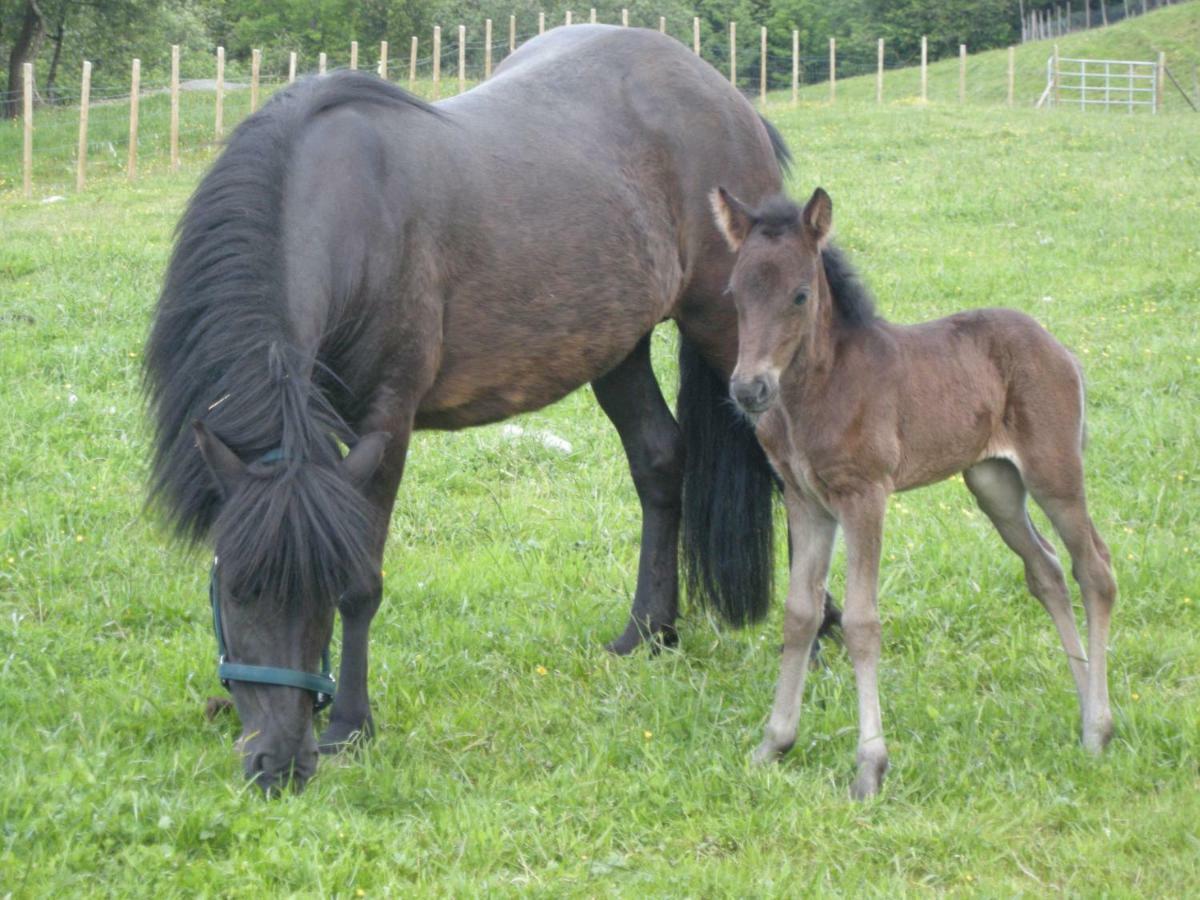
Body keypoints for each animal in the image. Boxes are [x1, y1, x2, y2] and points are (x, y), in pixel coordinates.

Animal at [142, 24, 835, 792]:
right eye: (235, 588)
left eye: (317, 588)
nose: (280, 764)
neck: (344, 210)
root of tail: (729, 98)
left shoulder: (386, 424)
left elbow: (364, 583)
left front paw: (351, 724)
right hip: (616, 347)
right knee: (660, 461)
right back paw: (648, 632)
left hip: (728, 333)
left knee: (785, 470)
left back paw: (817, 632)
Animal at [710, 187, 1113, 801]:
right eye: (735, 292)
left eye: (800, 294)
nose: (749, 389)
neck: (817, 390)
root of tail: (1060, 348)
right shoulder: (806, 500)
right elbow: (801, 613)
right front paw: (773, 745)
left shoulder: (864, 495)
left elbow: (861, 622)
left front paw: (869, 767)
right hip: (993, 482)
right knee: (1045, 569)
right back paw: (1083, 702)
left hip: (1054, 472)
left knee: (1094, 568)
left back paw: (1098, 728)